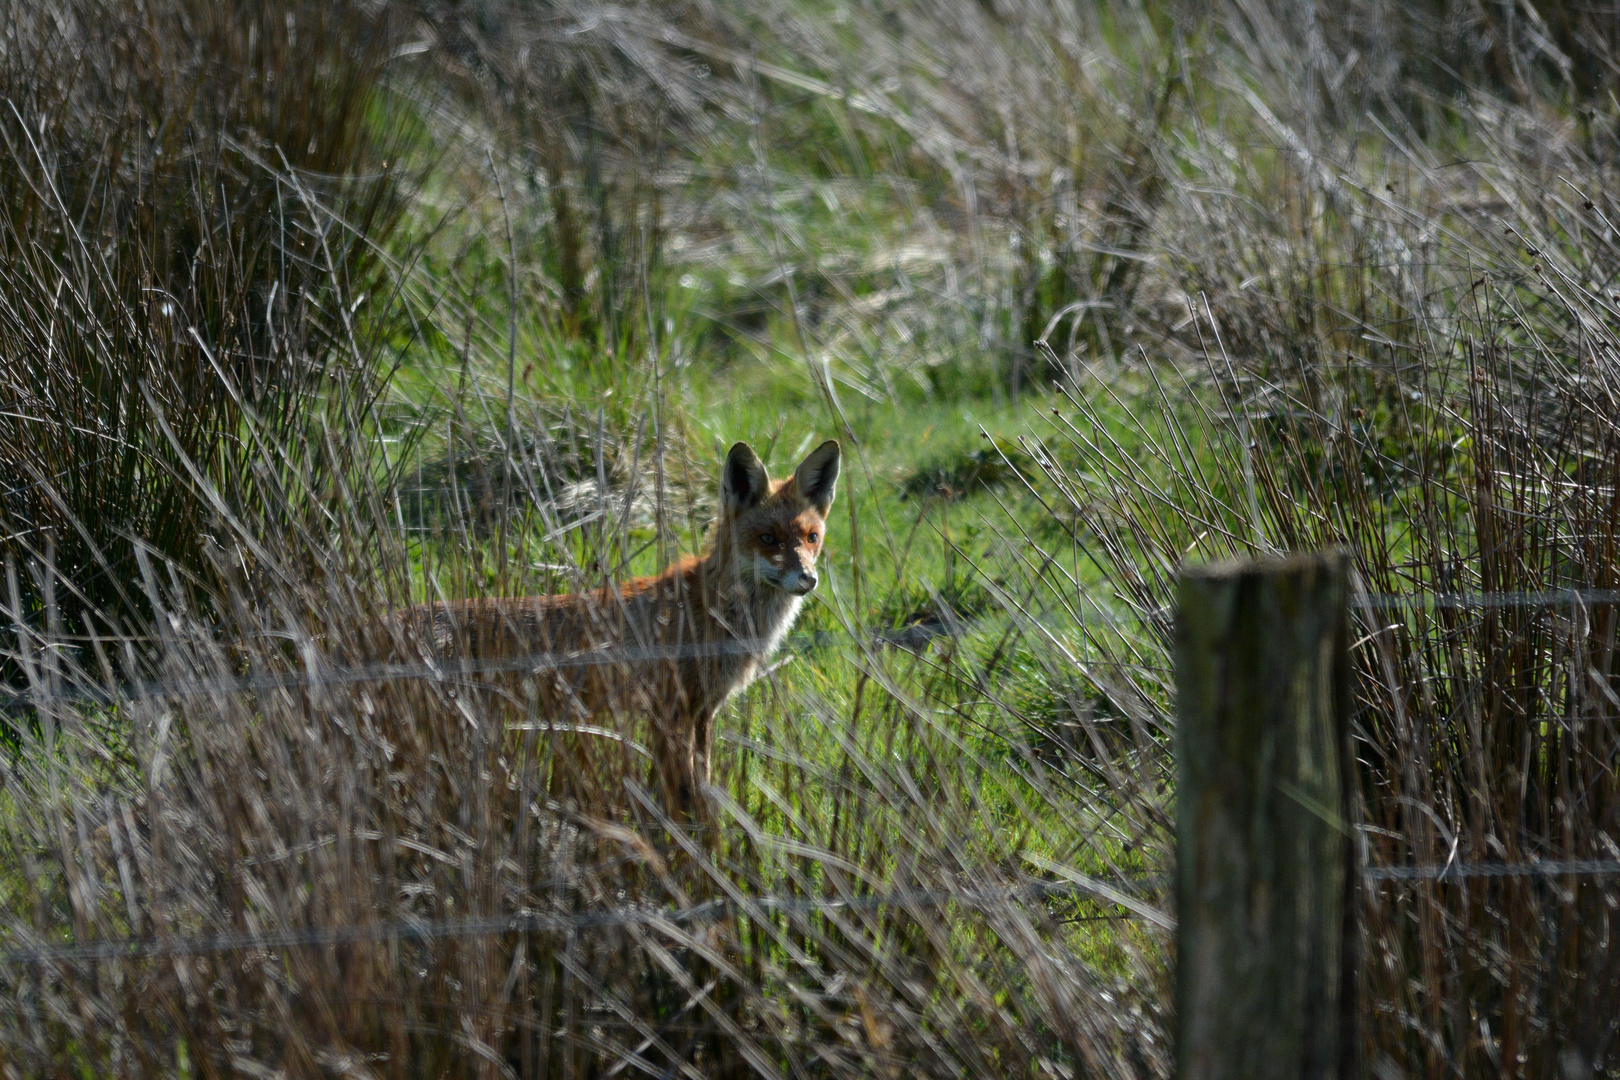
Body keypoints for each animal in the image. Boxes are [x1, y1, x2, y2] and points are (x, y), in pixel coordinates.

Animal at [398, 433, 842, 816]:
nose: (807, 579)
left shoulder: (702, 712)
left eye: (812, 538)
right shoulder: (672, 710)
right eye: (768, 539)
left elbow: (701, 787)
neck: (713, 613)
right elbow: (682, 798)